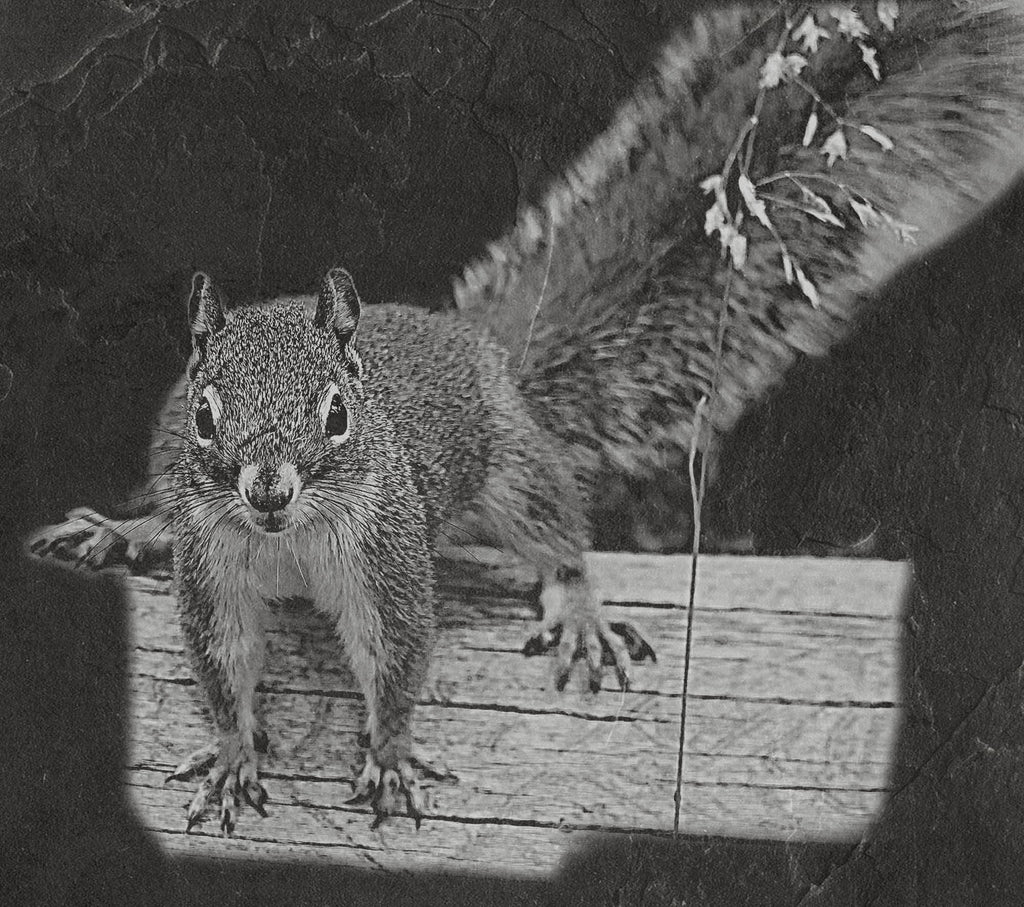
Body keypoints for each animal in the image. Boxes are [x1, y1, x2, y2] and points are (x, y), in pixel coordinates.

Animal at [27, 2, 1024, 833]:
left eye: (338, 414)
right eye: (206, 415)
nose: (267, 491)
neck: (288, 542)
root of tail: (481, 348)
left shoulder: (388, 552)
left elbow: (397, 655)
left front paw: (391, 754)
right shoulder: (214, 563)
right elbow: (223, 662)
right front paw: (235, 753)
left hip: (511, 468)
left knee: (557, 531)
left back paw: (578, 607)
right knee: (164, 521)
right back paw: (121, 531)